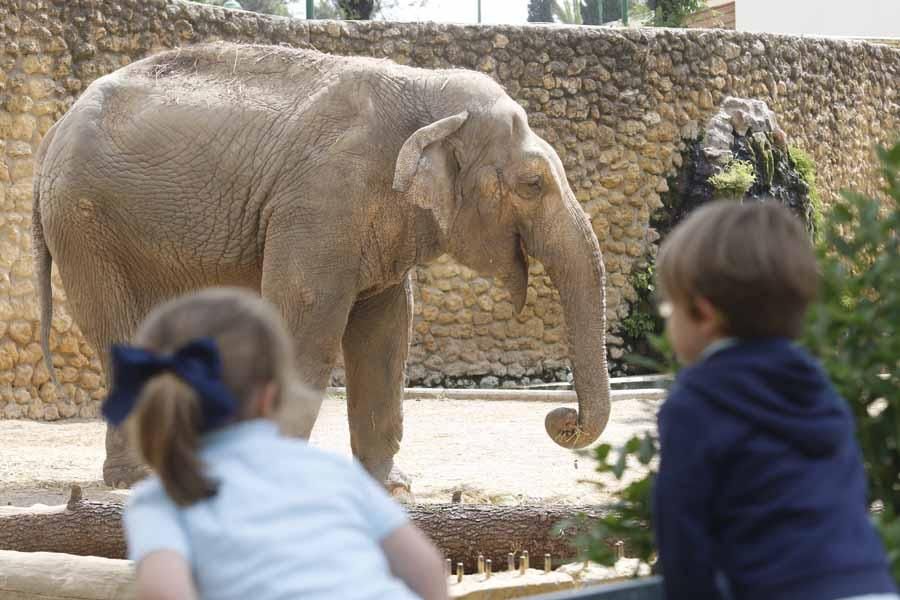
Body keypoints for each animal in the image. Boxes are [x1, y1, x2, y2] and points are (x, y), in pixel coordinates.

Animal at [35, 42, 612, 492]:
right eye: (533, 184)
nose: (560, 417)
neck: (427, 92)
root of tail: (53, 132)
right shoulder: (320, 202)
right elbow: (306, 324)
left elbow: (386, 332)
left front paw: (392, 487)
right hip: (86, 224)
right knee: (120, 333)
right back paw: (135, 479)